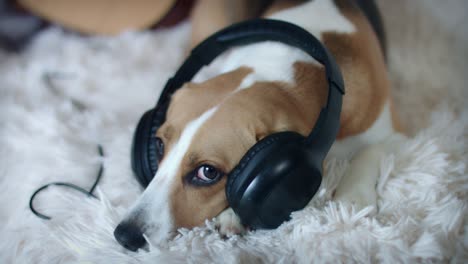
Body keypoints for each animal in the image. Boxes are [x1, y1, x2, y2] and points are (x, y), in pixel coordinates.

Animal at [115, 0, 404, 252]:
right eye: (159, 145)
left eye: (208, 172)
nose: (124, 235)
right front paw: (232, 215)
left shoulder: (395, 134)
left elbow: (370, 151)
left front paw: (353, 198)